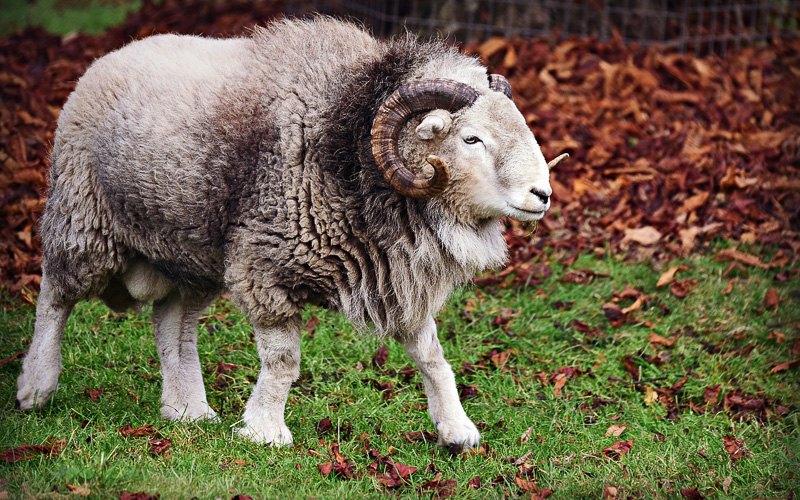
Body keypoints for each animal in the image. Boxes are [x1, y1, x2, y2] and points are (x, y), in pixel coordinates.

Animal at [15, 17, 564, 452]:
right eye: (470, 138)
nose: (542, 194)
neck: (351, 141)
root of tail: (112, 55)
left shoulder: (393, 275)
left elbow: (432, 356)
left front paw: (457, 431)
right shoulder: (265, 267)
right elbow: (284, 361)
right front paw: (264, 431)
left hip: (192, 252)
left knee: (173, 324)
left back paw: (187, 409)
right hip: (84, 221)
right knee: (55, 297)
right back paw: (36, 388)